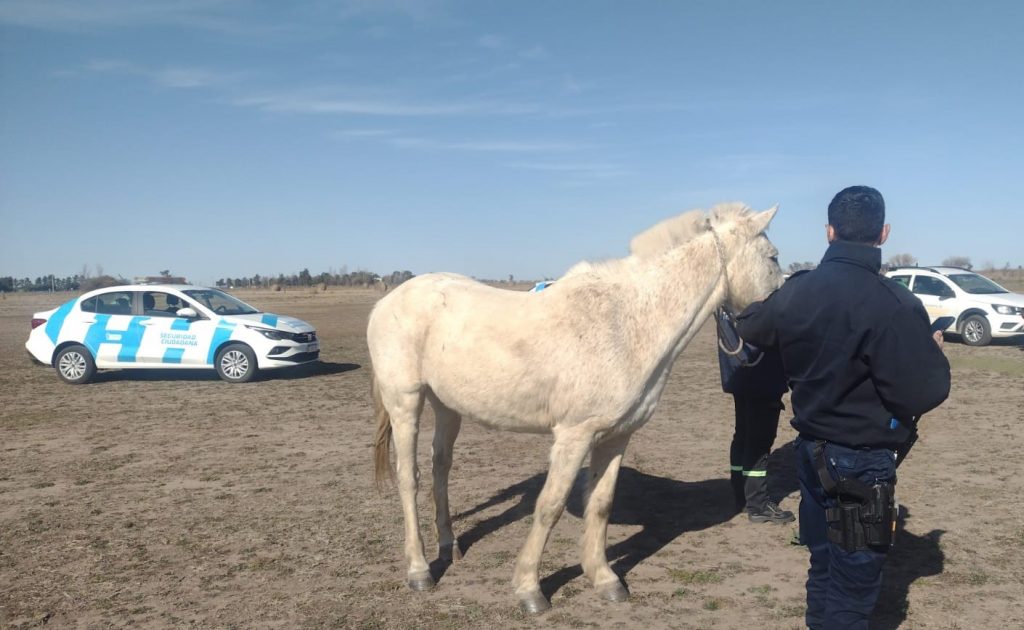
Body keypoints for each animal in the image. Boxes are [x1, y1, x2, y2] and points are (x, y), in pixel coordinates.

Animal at [372, 204, 778, 614]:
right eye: (773, 258)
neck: (626, 322)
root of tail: (387, 301)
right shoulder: (574, 435)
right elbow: (550, 506)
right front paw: (529, 589)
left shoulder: (616, 436)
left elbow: (600, 504)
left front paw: (604, 579)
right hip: (405, 402)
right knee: (409, 479)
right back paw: (420, 570)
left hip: (446, 406)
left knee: (440, 469)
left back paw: (449, 546)